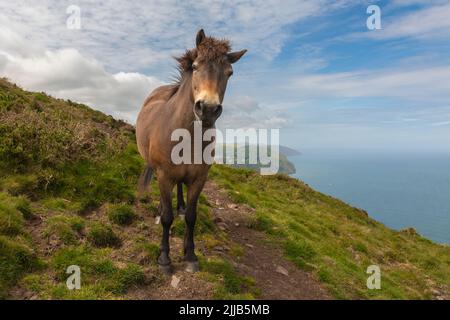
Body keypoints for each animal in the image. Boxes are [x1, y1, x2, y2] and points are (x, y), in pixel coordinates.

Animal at [135, 30, 246, 274]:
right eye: (195, 66)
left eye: (230, 73)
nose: (208, 109)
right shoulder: (164, 176)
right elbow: (167, 218)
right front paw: (165, 258)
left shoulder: (199, 178)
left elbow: (192, 217)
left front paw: (190, 255)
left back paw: (180, 207)